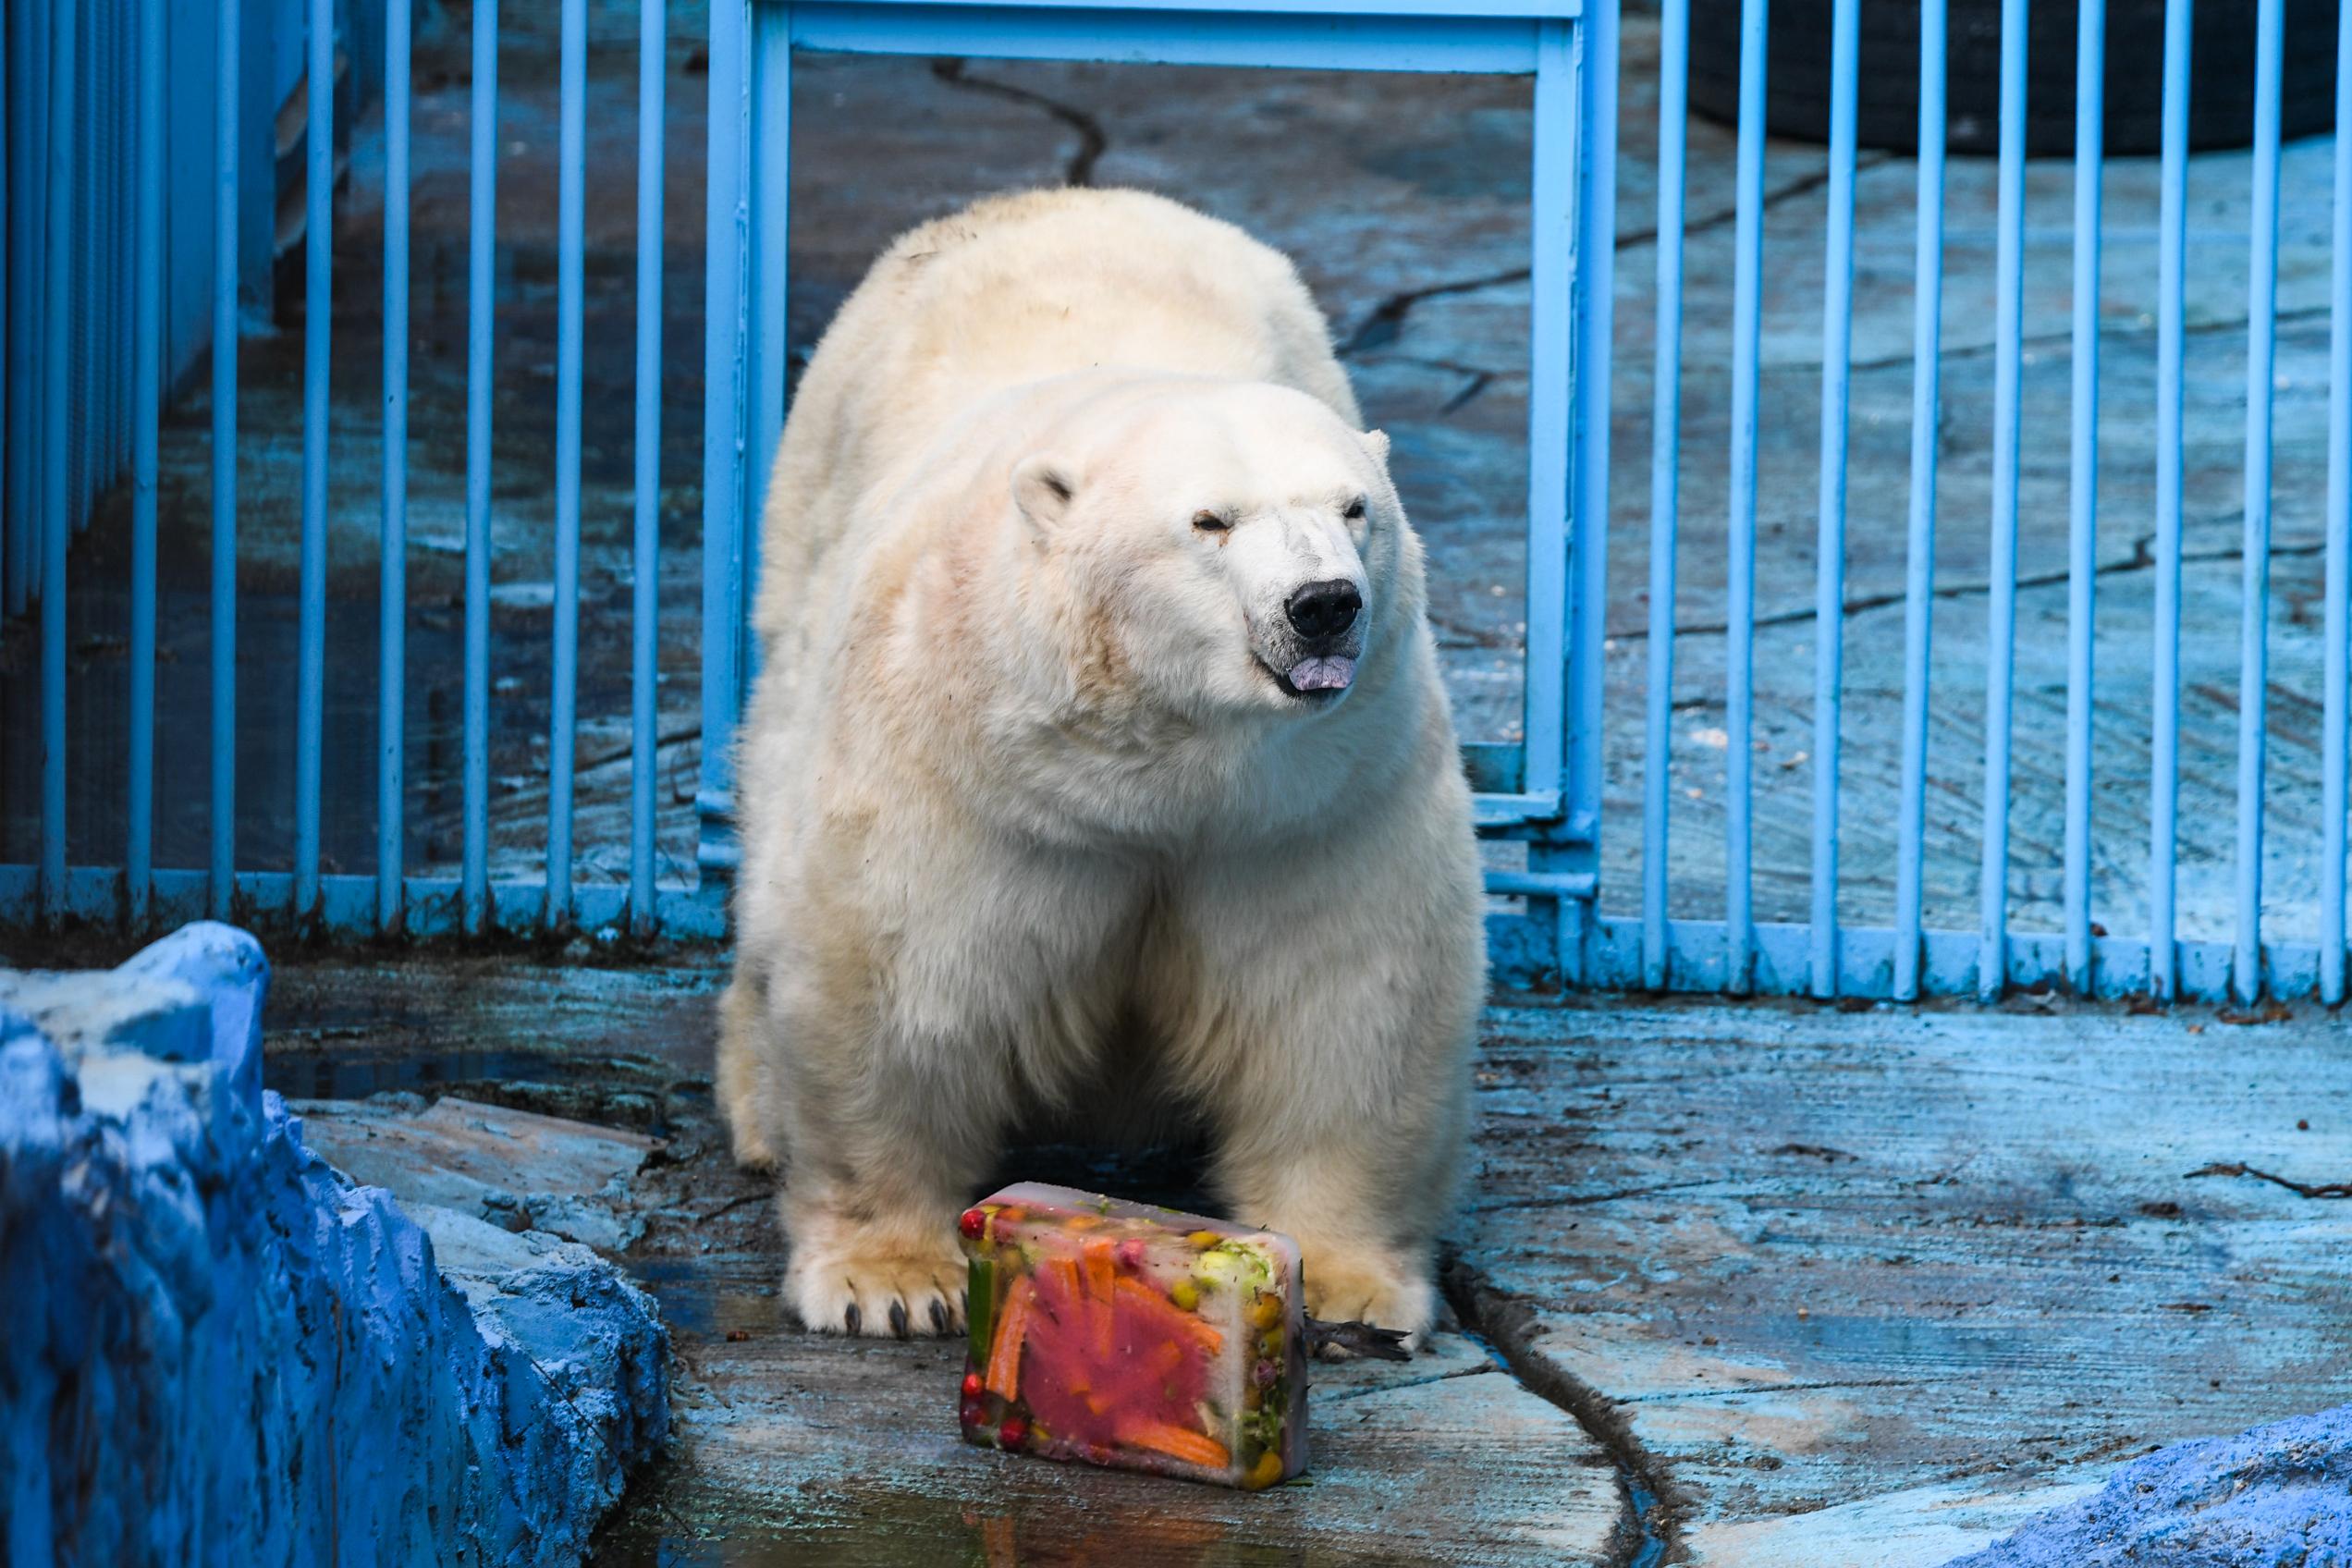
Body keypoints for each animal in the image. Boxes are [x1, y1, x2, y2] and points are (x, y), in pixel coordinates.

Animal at [719, 190, 1486, 1354]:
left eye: (1356, 507)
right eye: (1211, 521)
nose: (1324, 603)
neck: (1159, 771)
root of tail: (1065, 198)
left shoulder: (1315, 802)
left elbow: (1346, 1001)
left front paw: (1353, 1289)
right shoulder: (971, 774)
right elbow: (899, 985)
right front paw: (886, 1280)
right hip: (806, 537)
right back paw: (756, 1103)